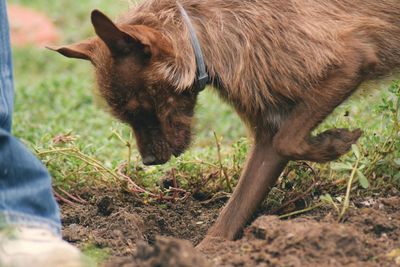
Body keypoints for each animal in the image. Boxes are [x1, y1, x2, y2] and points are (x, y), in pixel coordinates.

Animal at [50, 0, 400, 247]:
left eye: (142, 108)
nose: (148, 161)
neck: (200, 32)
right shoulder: (268, 134)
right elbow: (230, 216)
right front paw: (204, 254)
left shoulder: (351, 60)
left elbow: (288, 140)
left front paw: (335, 142)